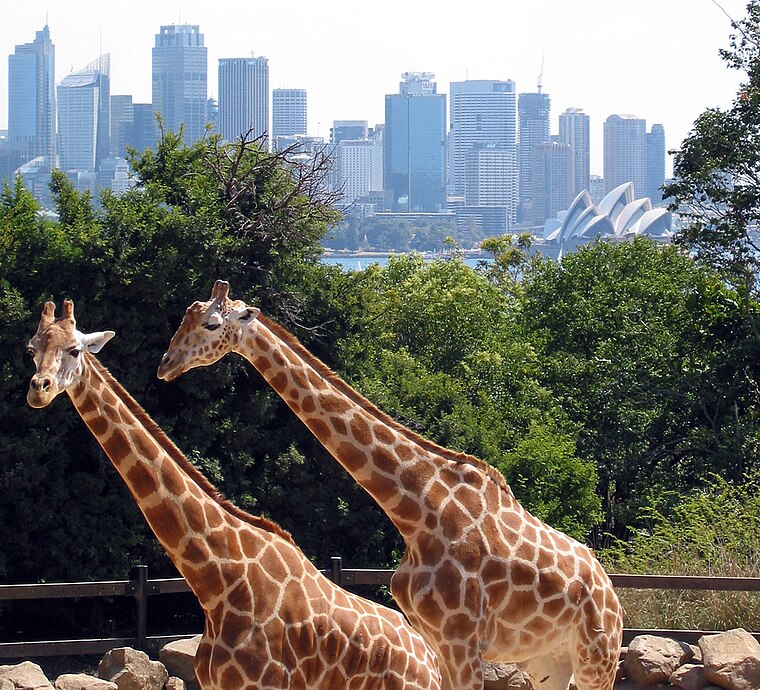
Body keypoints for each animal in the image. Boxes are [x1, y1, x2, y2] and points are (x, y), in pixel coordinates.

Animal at [25, 298, 440, 688]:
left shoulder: (264, 683)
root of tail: (431, 659)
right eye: (31, 348)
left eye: (74, 350)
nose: (39, 390)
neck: (218, 581)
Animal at [159, 280, 624, 688]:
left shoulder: (462, 641)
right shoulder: (436, 642)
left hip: (596, 657)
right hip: (548, 661)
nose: (166, 364)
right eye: (185, 317)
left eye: (212, 324)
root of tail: (611, 592)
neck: (416, 510)